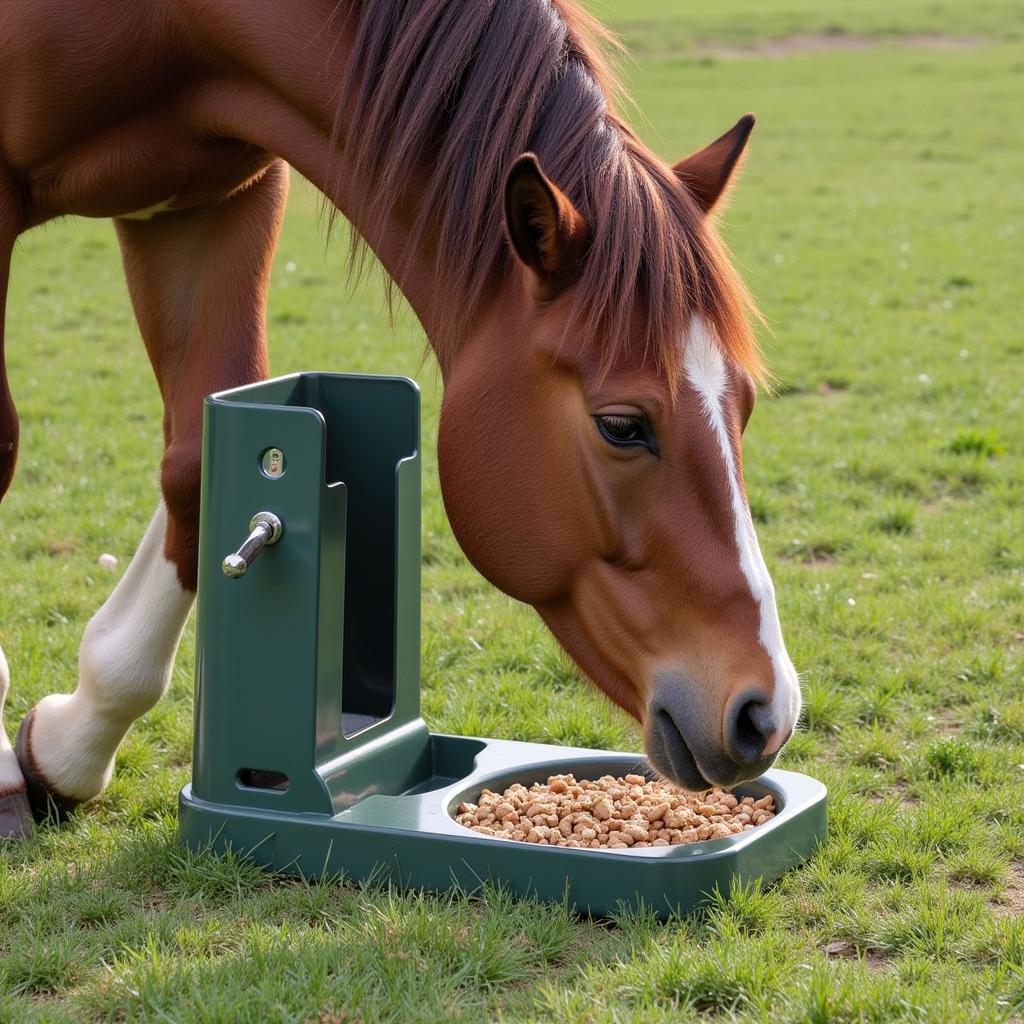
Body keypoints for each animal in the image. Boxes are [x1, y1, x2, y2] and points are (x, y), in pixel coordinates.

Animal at [0, 0, 798, 839]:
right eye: (621, 426)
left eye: (745, 405)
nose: (764, 712)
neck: (179, 26)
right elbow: (1, 444)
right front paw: (12, 774)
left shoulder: (210, 200)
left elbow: (194, 459)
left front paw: (73, 741)